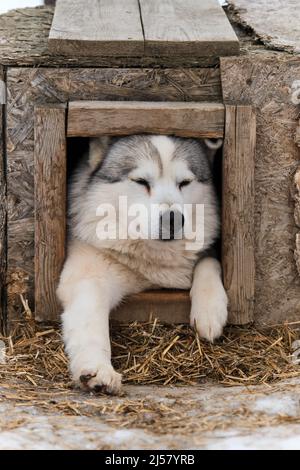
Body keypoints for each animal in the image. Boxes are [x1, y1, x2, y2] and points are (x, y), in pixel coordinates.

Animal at [57, 135, 229, 392]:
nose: (172, 219)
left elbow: (208, 262)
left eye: (185, 182)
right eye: (140, 181)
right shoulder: (89, 275)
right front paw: (96, 368)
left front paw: (210, 309)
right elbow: (92, 325)